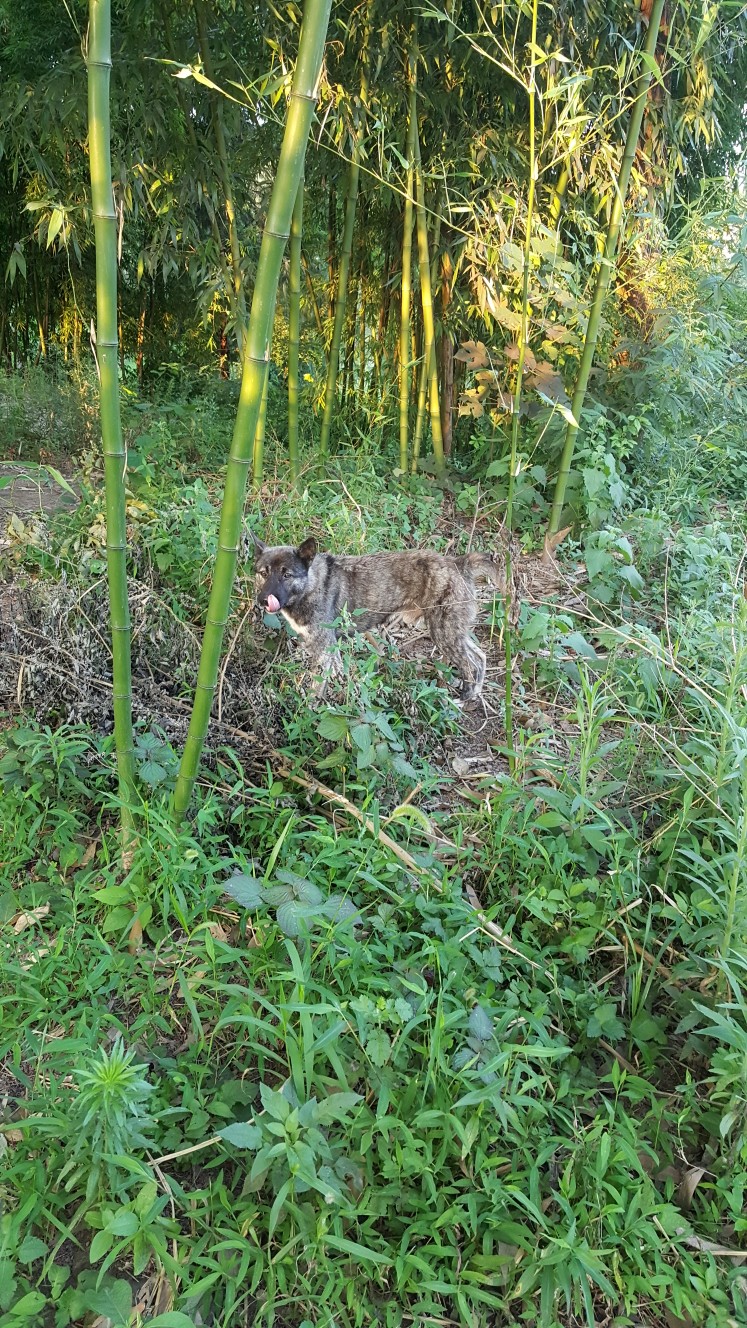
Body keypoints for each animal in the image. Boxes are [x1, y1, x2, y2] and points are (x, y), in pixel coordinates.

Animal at [252, 533, 503, 702]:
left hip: (444, 632)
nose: (263, 600)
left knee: (471, 662)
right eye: (263, 573)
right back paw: (473, 694)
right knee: (480, 656)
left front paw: (309, 713)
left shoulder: (324, 650)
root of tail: (458, 563)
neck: (310, 585)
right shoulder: (330, 650)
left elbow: (316, 688)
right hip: (454, 630)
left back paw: (465, 697)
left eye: (287, 575)